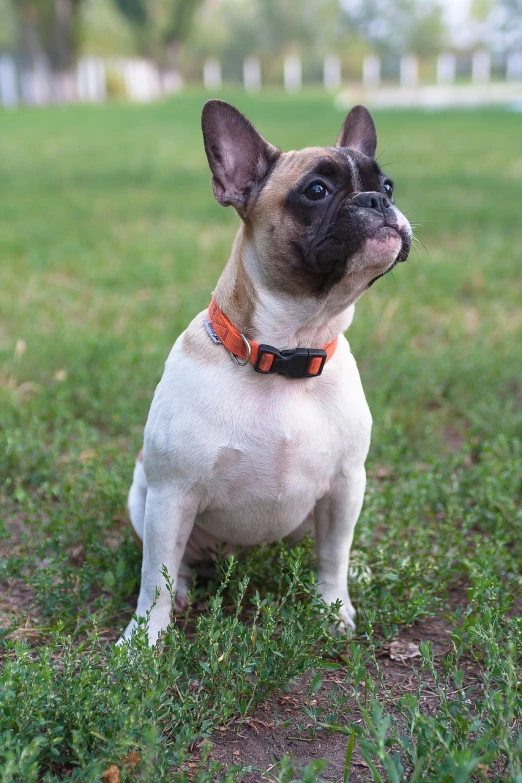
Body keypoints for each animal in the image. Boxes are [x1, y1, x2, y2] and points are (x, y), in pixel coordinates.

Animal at [120, 101, 408, 648]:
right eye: (315, 191)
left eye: (388, 185)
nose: (377, 201)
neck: (288, 351)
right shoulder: (170, 495)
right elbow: (155, 578)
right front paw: (144, 639)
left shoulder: (346, 485)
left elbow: (333, 554)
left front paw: (333, 608)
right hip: (142, 498)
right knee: (174, 563)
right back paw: (185, 589)